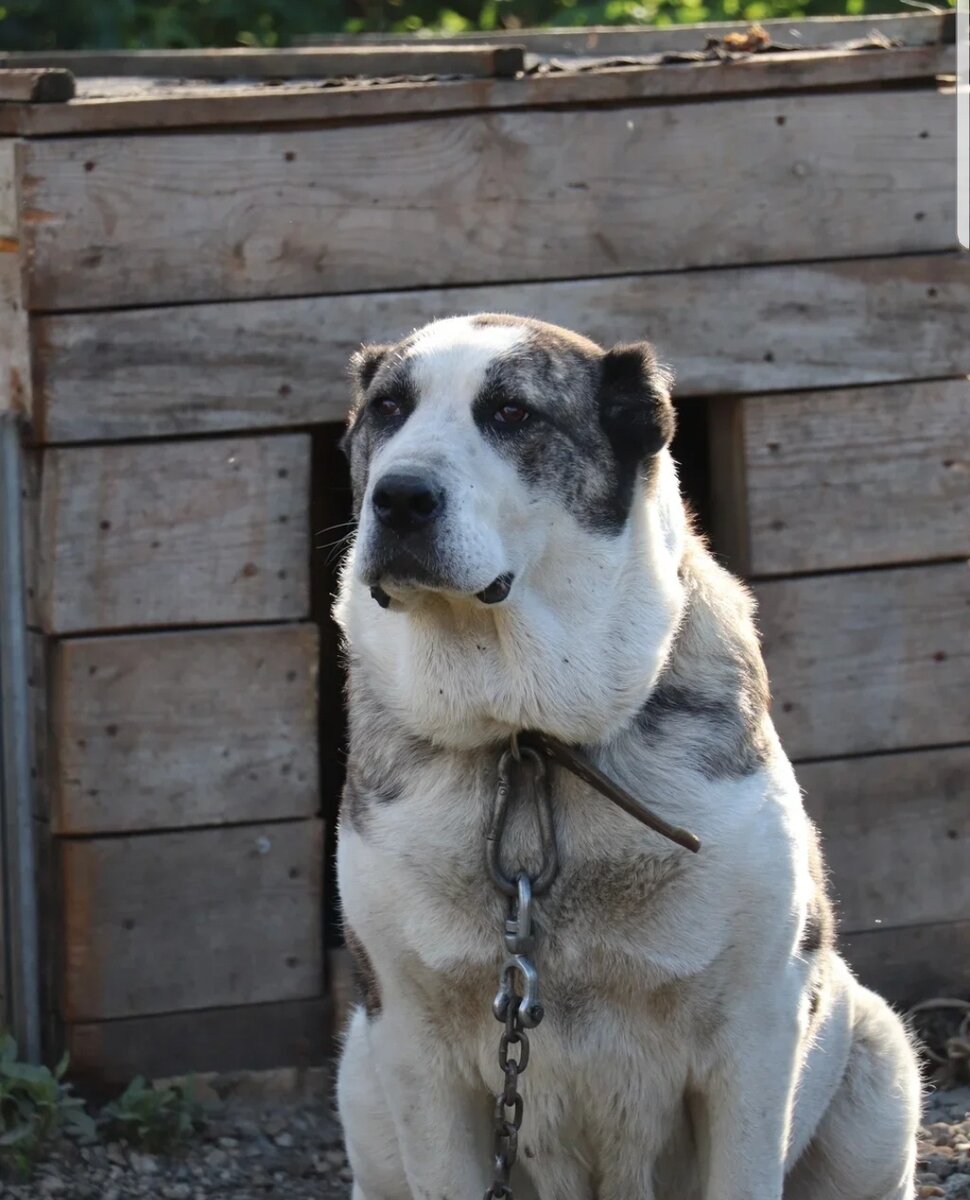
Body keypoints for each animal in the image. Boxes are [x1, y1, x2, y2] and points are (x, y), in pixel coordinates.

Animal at [328, 314, 921, 1195]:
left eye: (512, 413)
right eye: (389, 409)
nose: (399, 496)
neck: (525, 739)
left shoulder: (754, 1041)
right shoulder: (413, 1050)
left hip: (879, 1065)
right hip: (363, 1083)